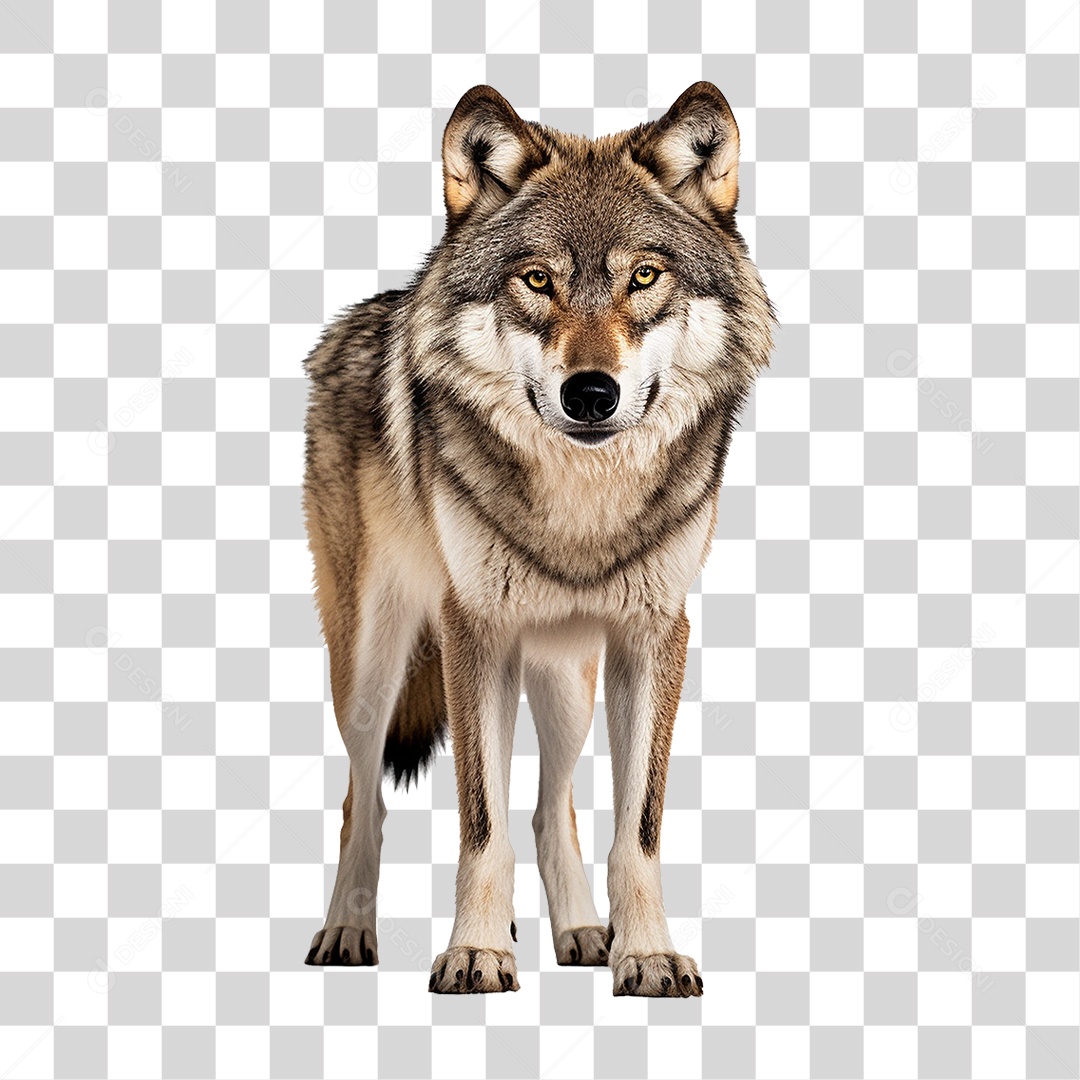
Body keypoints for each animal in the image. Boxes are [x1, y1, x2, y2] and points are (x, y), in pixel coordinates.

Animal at [301, 81, 774, 996]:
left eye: (644, 276)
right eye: (538, 280)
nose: (591, 392)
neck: (582, 509)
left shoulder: (653, 636)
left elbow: (636, 831)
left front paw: (645, 954)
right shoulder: (473, 632)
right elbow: (480, 828)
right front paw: (478, 953)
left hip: (565, 679)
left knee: (554, 805)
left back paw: (584, 933)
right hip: (372, 665)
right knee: (360, 799)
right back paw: (346, 930)